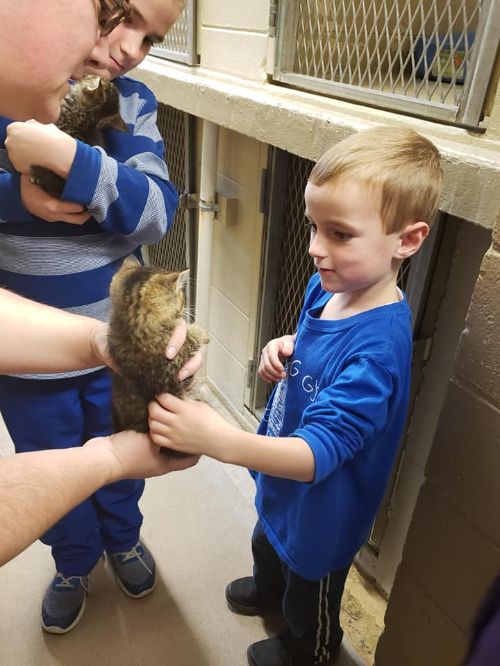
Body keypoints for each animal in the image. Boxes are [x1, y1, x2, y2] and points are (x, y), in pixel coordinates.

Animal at [107, 258, 209, 456]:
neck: (132, 327)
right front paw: (200, 332)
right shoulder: (173, 362)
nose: (185, 307)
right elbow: (189, 338)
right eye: (182, 297)